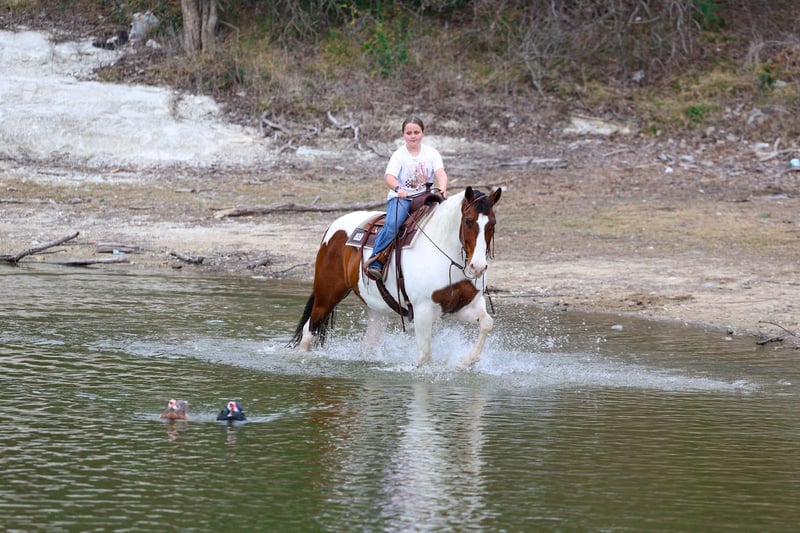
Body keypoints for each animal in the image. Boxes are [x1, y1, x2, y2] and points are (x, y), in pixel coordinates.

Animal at [288, 186, 502, 368]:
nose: (478, 266)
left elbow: (487, 323)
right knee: (309, 331)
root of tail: (333, 228)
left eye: (492, 223)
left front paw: (466, 361)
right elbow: (425, 357)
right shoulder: (423, 310)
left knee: (369, 344)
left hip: (376, 307)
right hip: (327, 296)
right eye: (468, 221)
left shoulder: (463, 304)